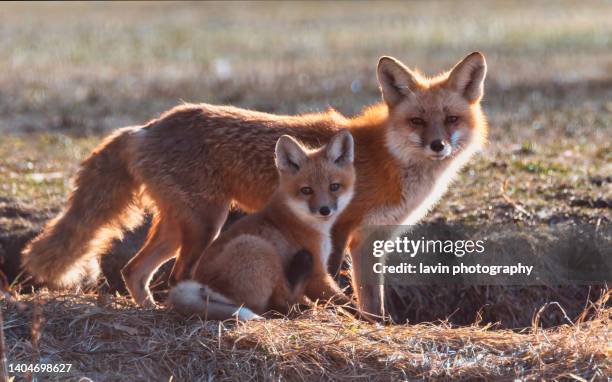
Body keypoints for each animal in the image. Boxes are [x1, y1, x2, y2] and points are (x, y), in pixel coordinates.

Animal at [22, 53, 488, 316]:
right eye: (417, 121)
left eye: (450, 119)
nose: (438, 145)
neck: (389, 160)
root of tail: (144, 127)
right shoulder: (339, 229)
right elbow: (332, 282)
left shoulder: (372, 240)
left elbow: (374, 299)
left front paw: (379, 326)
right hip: (206, 223)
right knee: (179, 276)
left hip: (181, 225)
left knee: (134, 271)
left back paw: (150, 311)